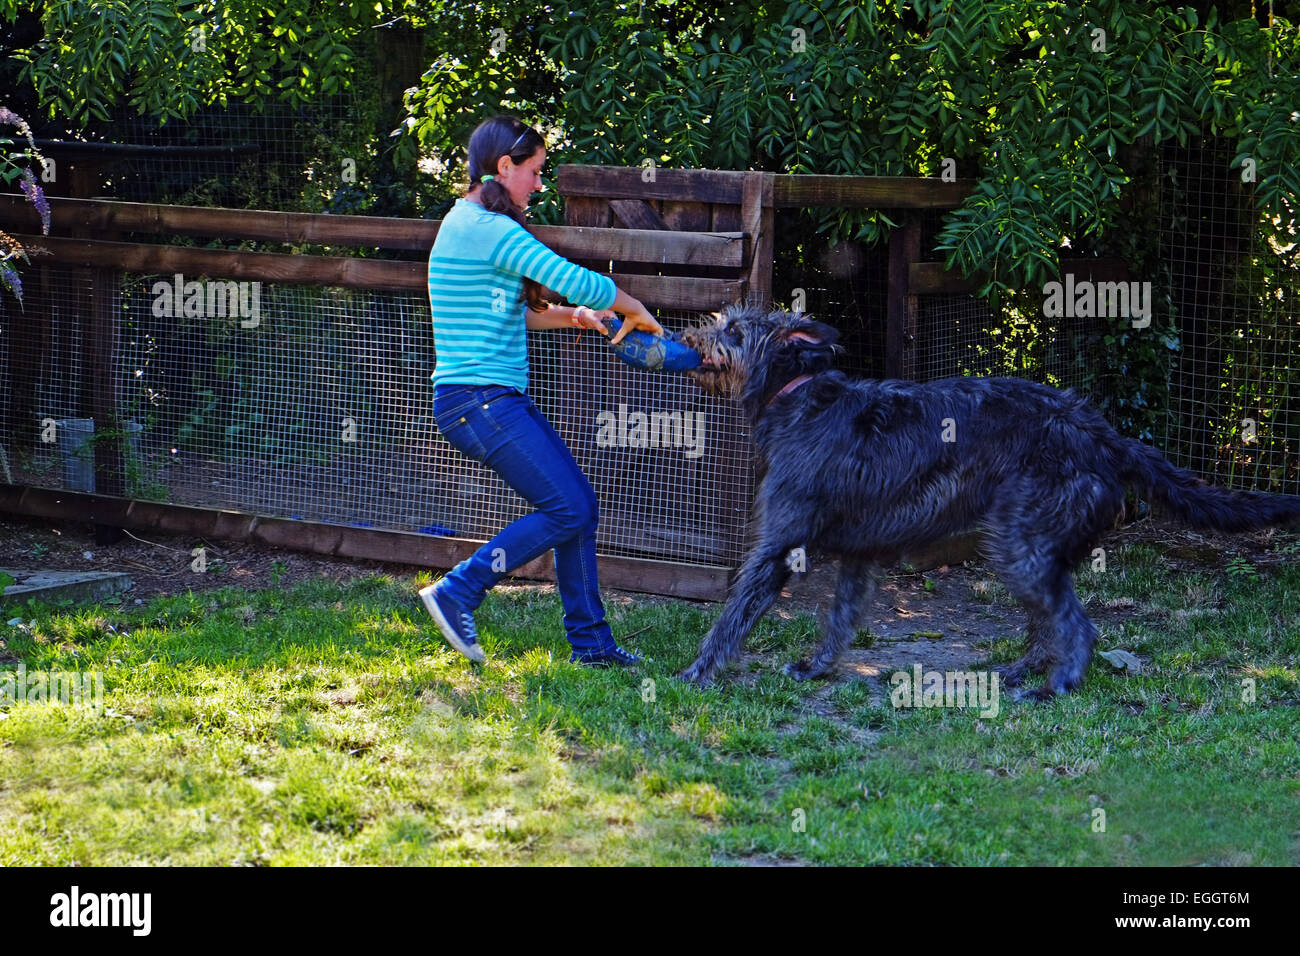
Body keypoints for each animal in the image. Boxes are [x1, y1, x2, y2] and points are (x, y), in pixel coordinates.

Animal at [676, 303, 1294, 697]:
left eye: (734, 330)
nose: (689, 339)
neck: (796, 394)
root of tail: (1100, 432)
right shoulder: (859, 554)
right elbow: (841, 619)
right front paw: (817, 668)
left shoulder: (780, 545)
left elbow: (734, 616)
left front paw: (696, 674)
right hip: (1032, 547)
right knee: (1049, 623)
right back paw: (1024, 672)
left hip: (1019, 543)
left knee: (1079, 626)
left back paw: (1056, 688)